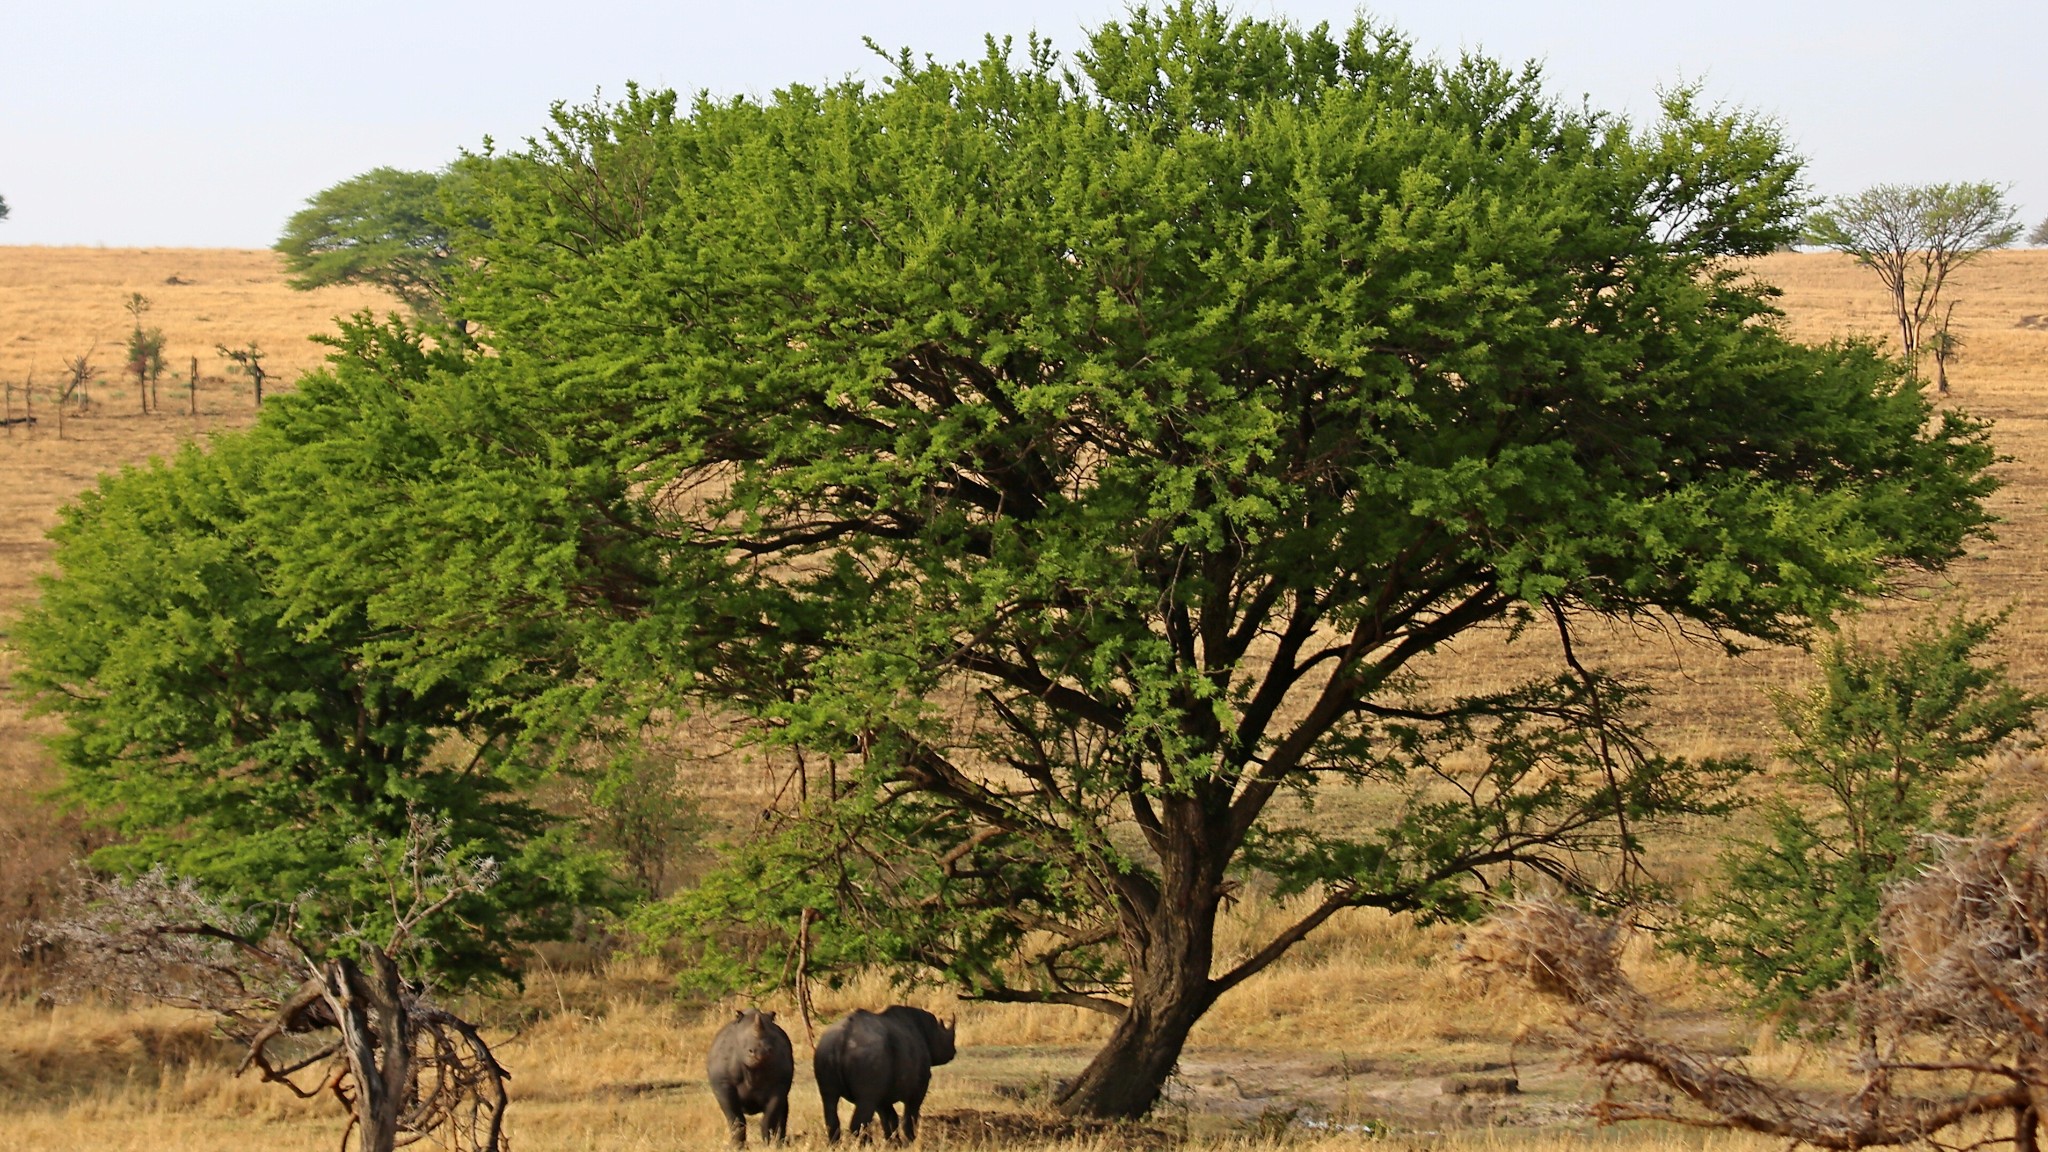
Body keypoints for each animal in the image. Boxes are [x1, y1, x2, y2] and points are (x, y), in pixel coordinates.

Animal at [708, 1004, 794, 1139]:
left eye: (770, 1049)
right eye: (749, 1050)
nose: (761, 1053)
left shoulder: (780, 1083)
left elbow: (769, 1117)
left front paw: (768, 1141)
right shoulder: (723, 1083)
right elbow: (735, 1118)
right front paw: (737, 1144)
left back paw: (780, 1141)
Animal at [811, 1000, 954, 1131]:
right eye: (946, 1038)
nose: (953, 1052)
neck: (927, 1029)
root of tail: (843, 1038)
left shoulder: (883, 1092)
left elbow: (889, 1118)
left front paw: (893, 1141)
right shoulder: (919, 1086)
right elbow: (911, 1113)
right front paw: (910, 1138)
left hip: (826, 1048)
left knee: (829, 1100)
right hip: (866, 1055)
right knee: (864, 1107)